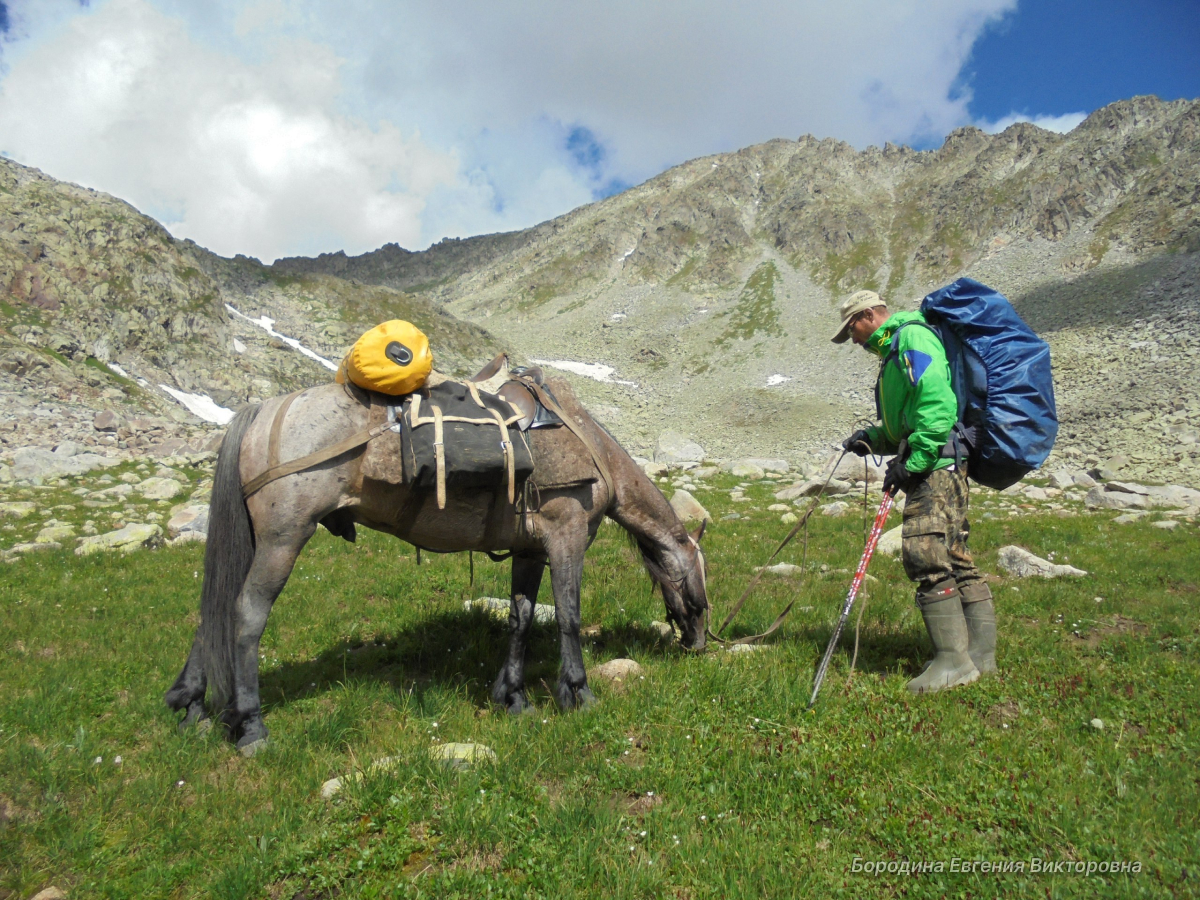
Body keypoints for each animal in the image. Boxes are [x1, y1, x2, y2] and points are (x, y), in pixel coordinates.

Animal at [169, 367, 710, 753]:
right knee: (245, 615)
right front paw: (578, 695)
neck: (591, 443)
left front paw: (513, 697)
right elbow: (569, 618)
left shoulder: (529, 550)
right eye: (700, 584)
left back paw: (191, 704)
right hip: (283, 539)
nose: (700, 644)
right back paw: (251, 726)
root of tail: (263, 411)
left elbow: (521, 618)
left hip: (256, 542)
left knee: (216, 608)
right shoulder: (566, 537)